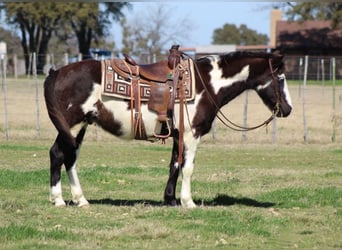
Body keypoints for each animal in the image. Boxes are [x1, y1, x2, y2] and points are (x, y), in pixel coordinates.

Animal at [44, 49, 292, 208]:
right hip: (72, 125)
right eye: (280, 78)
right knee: (58, 154)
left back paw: (80, 200)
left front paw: (171, 199)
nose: (287, 109)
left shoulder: (178, 135)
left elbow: (174, 164)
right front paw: (188, 202)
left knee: (69, 158)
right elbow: (188, 168)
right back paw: (59, 200)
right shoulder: (192, 134)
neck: (207, 83)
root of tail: (57, 72)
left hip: (79, 127)